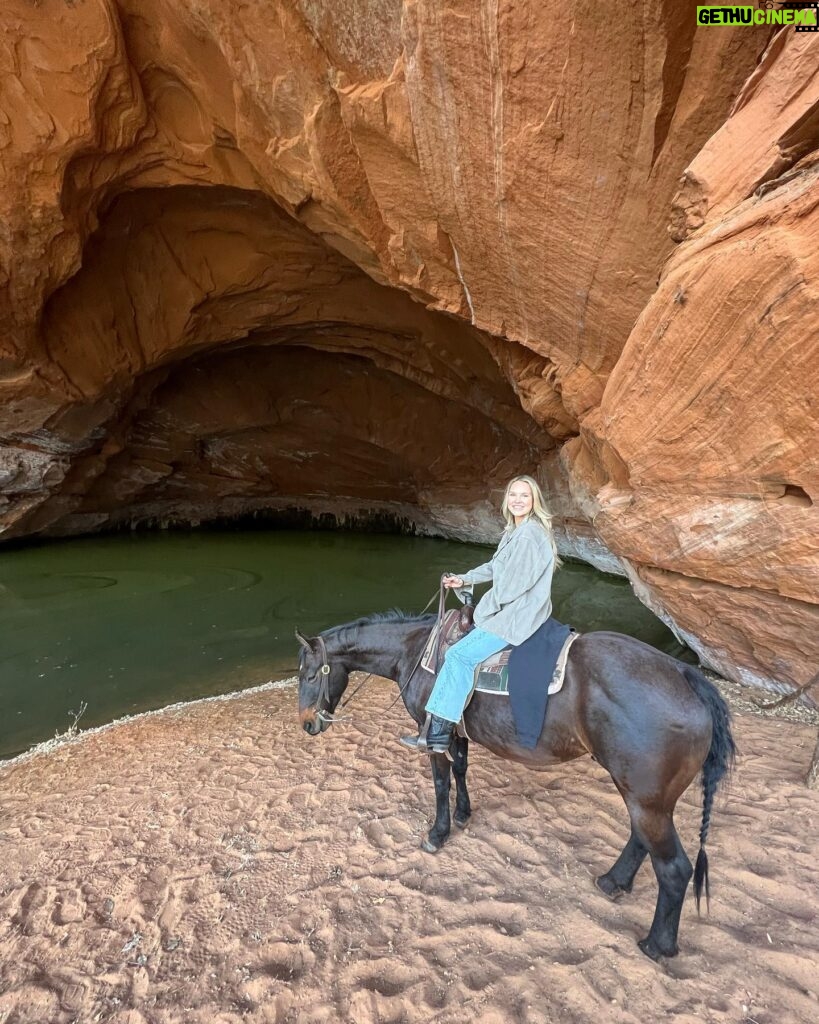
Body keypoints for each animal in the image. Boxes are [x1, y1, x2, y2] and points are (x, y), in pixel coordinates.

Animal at [294, 610, 737, 962]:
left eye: (310, 674)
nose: (308, 725)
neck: (417, 651)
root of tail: (686, 676)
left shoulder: (431, 733)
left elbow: (440, 783)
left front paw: (438, 833)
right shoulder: (457, 732)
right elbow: (461, 771)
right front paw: (464, 815)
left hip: (647, 799)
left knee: (674, 869)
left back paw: (656, 944)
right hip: (642, 795)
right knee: (641, 840)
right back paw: (613, 882)